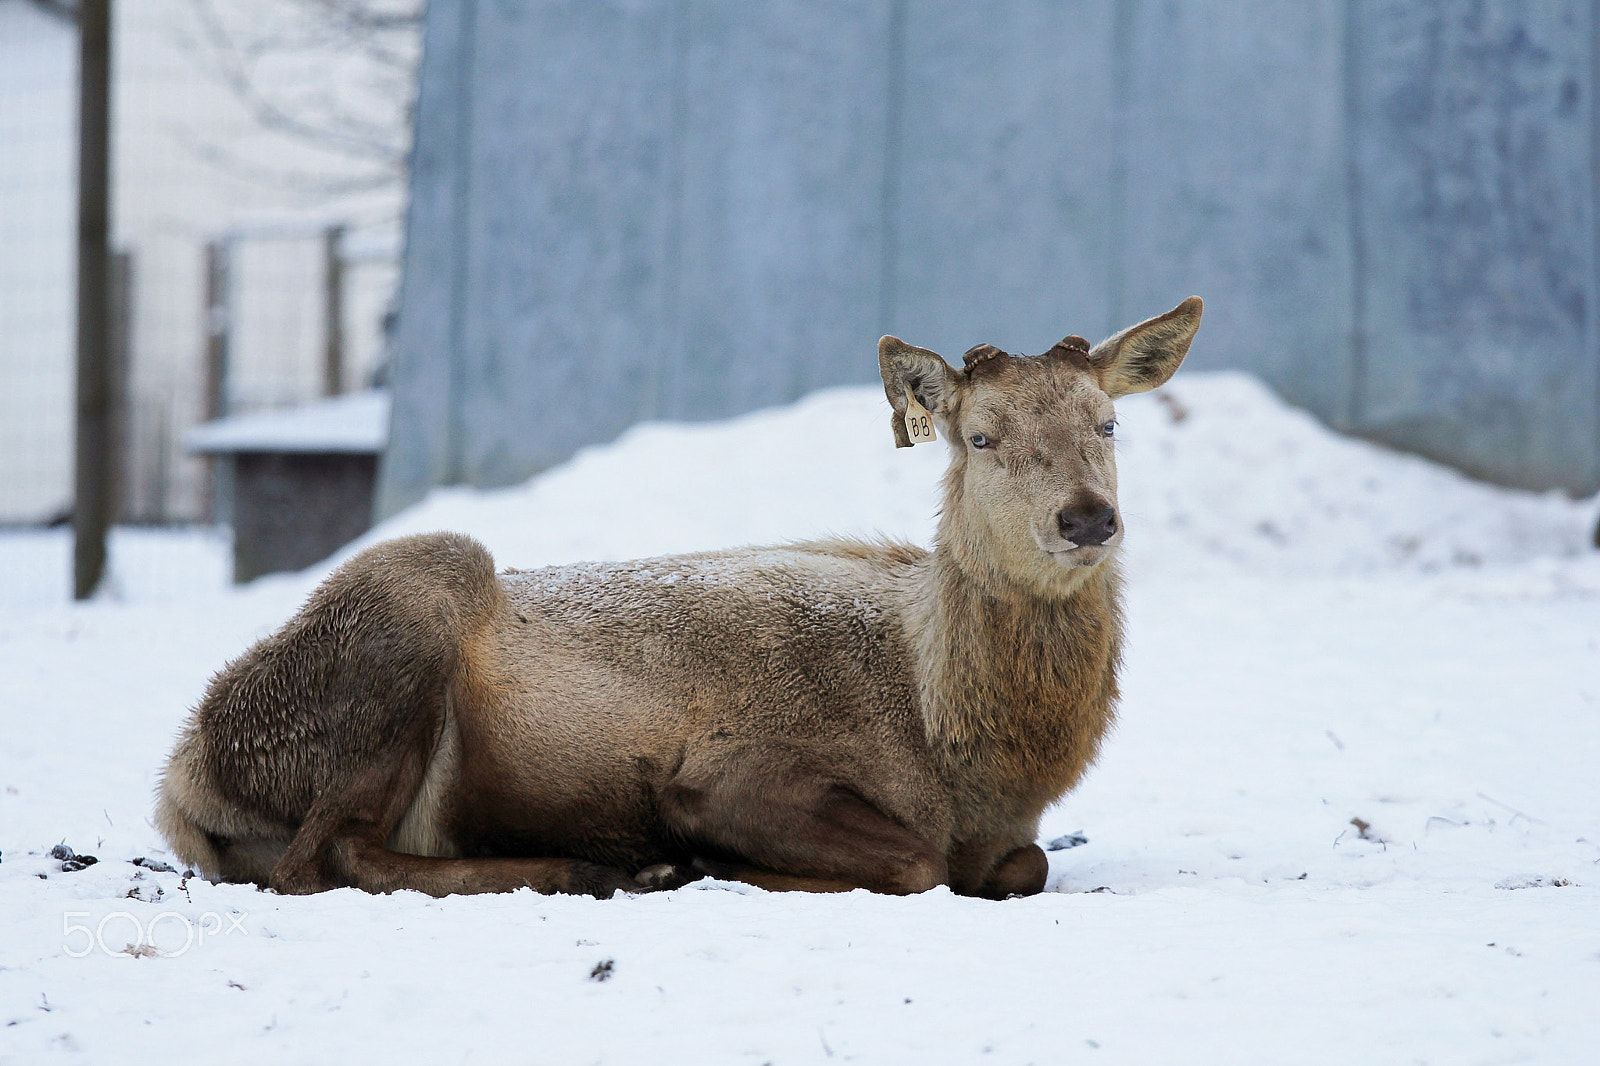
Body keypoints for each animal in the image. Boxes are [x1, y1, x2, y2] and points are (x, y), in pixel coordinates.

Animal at [156, 294, 1203, 889]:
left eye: (1107, 423)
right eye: (981, 436)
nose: (1087, 520)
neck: (969, 755)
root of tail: (188, 776)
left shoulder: (1013, 836)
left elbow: (1025, 865)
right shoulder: (730, 771)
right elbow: (916, 860)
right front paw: (709, 860)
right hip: (411, 596)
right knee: (323, 860)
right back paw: (606, 865)